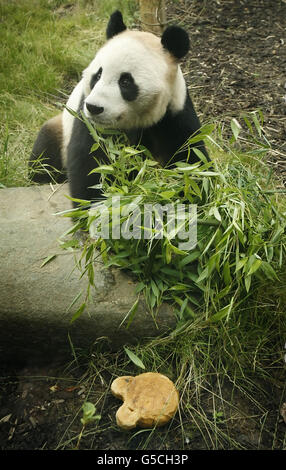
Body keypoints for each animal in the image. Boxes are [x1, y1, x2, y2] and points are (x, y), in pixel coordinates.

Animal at [29, 10, 208, 206]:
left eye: (125, 81)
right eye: (98, 75)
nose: (94, 107)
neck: (134, 121)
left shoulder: (174, 114)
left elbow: (189, 159)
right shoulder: (89, 124)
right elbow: (90, 164)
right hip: (60, 130)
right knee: (44, 155)